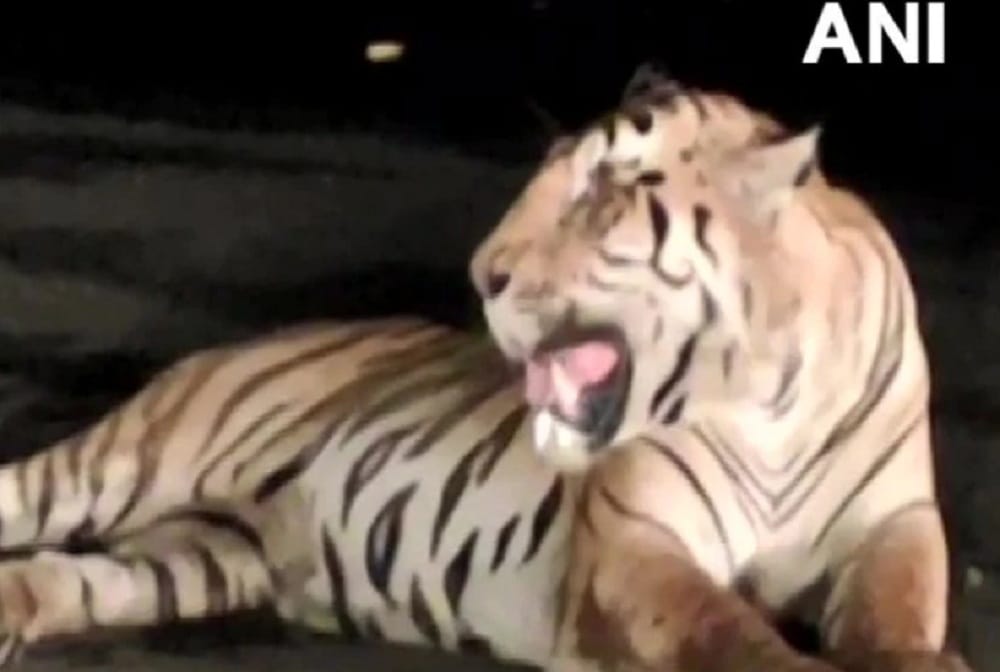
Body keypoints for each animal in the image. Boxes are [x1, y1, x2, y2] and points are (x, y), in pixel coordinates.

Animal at [0, 65, 972, 672]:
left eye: (602, 192)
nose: (482, 274)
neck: (764, 396)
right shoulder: (635, 546)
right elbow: (725, 630)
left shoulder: (895, 527)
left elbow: (896, 616)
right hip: (141, 456)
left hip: (201, 552)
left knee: (69, 574)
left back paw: (15, 611)